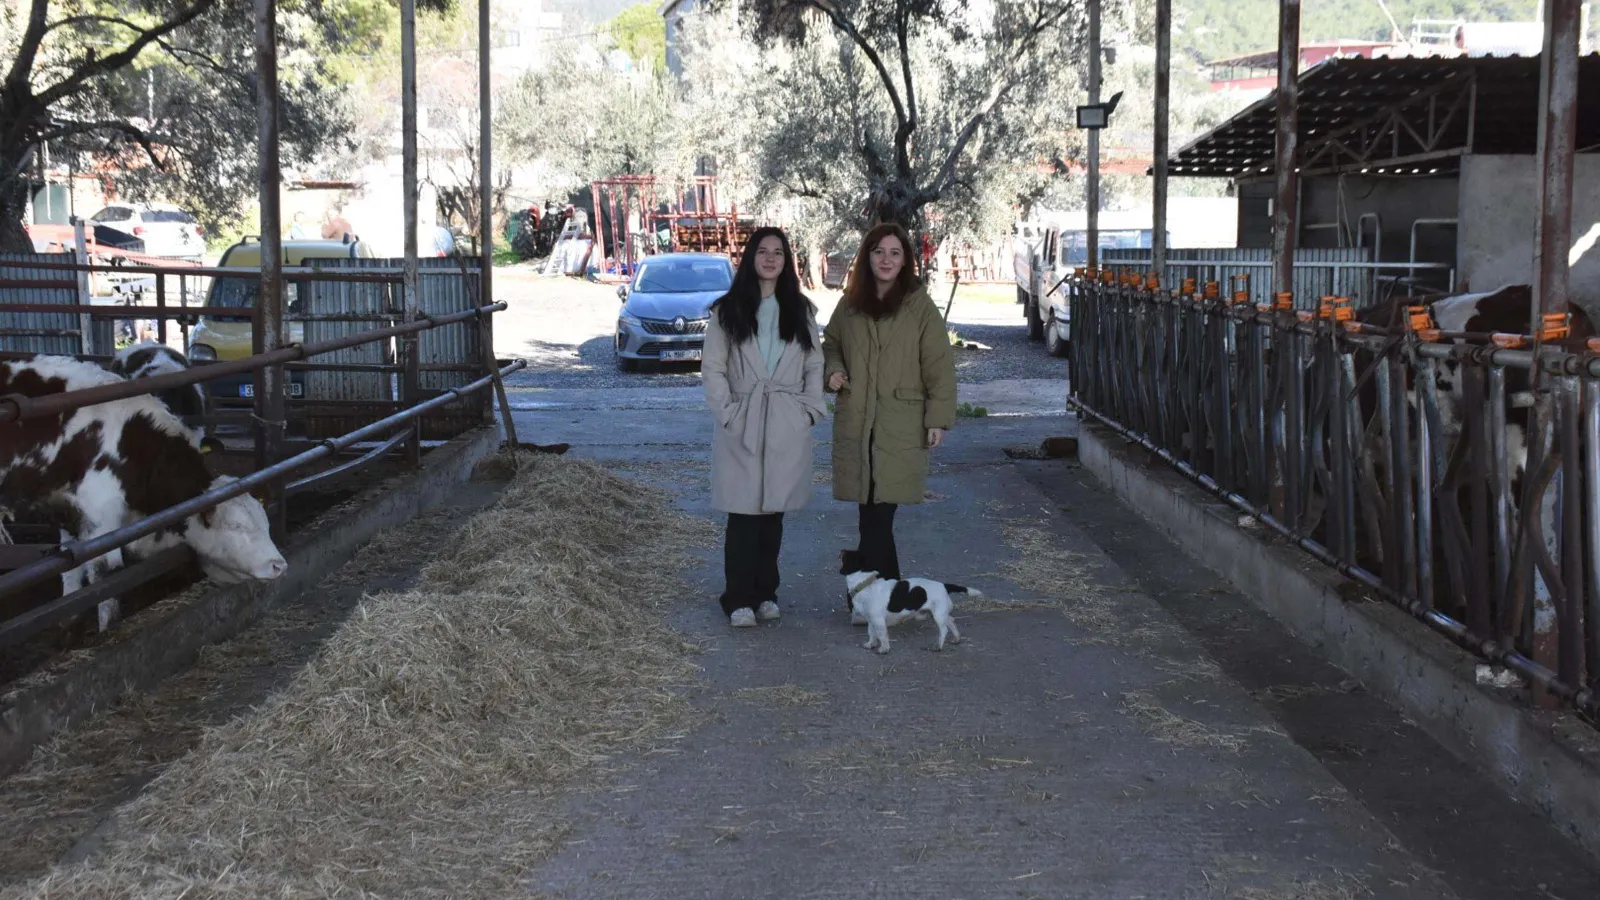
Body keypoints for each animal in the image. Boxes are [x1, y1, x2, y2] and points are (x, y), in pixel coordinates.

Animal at [1, 353, 288, 634]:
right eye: (236, 526)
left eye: (265, 522)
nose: (279, 565)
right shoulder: (100, 512)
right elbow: (106, 574)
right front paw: (107, 629)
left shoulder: (65, 505)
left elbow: (70, 563)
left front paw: (69, 618)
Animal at [838, 547, 972, 650]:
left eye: (847, 555)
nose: (841, 550)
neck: (865, 584)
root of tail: (944, 585)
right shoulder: (871, 619)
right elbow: (871, 633)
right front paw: (871, 644)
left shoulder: (878, 620)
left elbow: (882, 635)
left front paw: (884, 648)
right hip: (941, 613)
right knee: (951, 621)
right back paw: (956, 638)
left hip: (938, 616)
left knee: (944, 630)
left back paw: (938, 646)